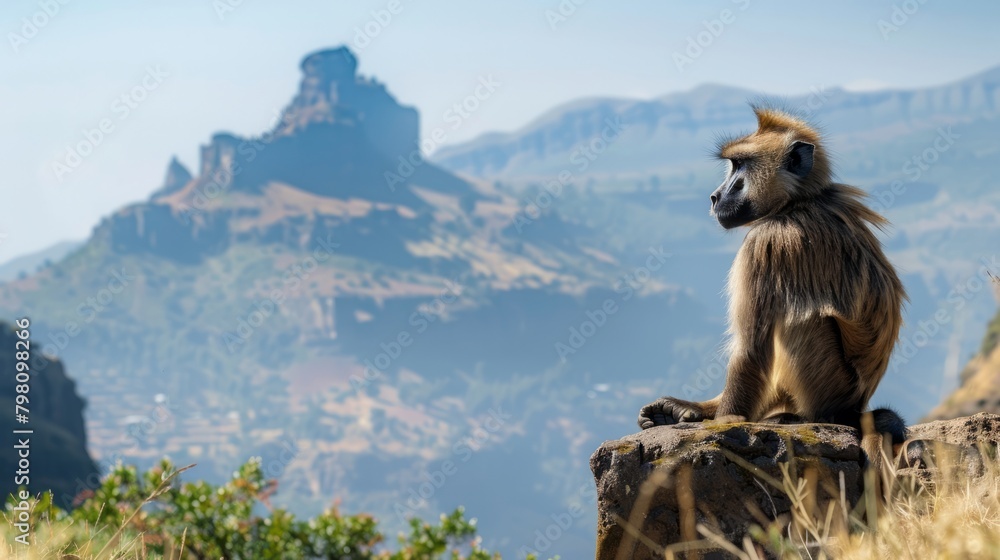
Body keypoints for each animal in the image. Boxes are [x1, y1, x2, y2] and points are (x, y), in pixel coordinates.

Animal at [638, 106, 907, 496]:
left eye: (740, 166)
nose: (715, 196)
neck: (799, 202)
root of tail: (854, 406)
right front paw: (692, 410)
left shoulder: (766, 243)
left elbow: (752, 349)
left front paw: (720, 422)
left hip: (829, 384)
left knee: (800, 321)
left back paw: (799, 417)